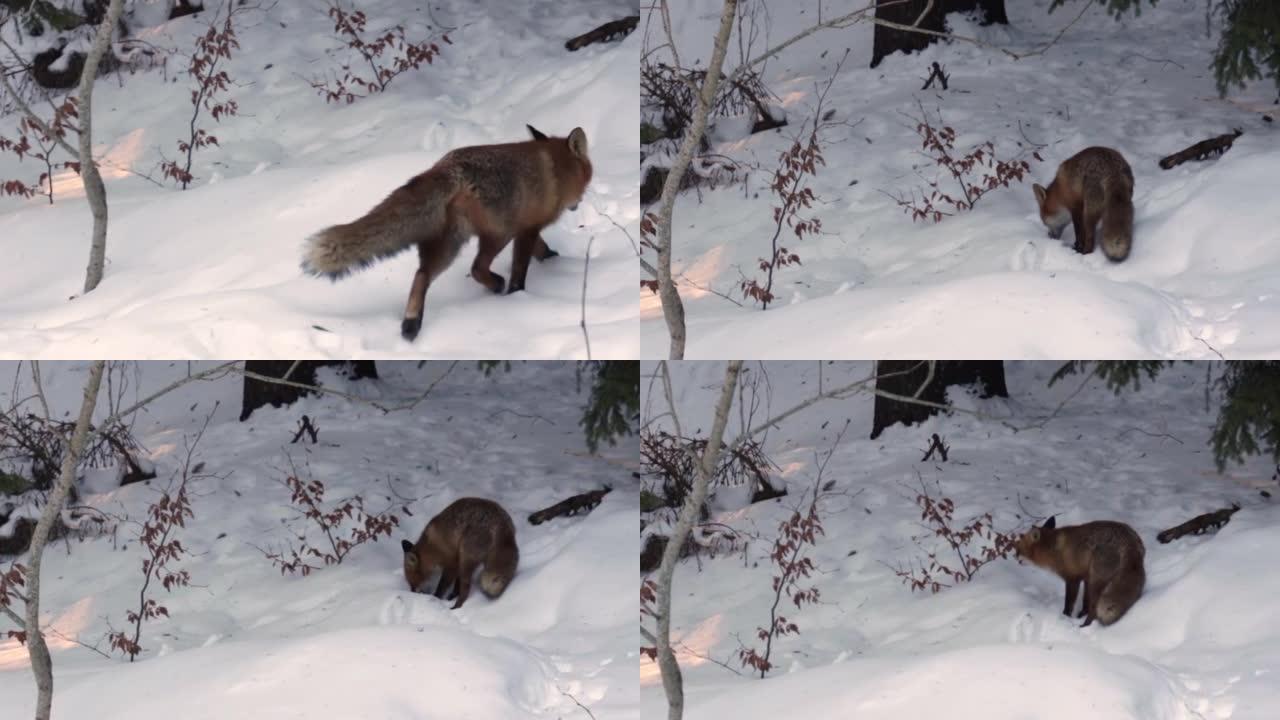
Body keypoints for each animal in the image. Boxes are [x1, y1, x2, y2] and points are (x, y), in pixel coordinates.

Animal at [302, 124, 591, 340]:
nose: (577, 204)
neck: (556, 170)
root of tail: (446, 166)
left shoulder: (526, 226)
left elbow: (541, 249)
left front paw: (553, 260)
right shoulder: (526, 229)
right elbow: (521, 268)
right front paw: (518, 294)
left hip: (449, 242)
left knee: (422, 274)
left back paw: (411, 323)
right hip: (496, 235)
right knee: (476, 267)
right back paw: (496, 285)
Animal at [1013, 515, 1146, 622]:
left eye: (1018, 549)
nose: (1014, 557)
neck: (1053, 550)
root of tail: (1130, 543)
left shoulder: (1072, 578)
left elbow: (1069, 603)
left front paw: (1065, 617)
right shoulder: (1086, 577)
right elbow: (1085, 601)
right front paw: (1081, 614)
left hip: (1096, 581)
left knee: (1094, 609)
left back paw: (1085, 625)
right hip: (1096, 581)